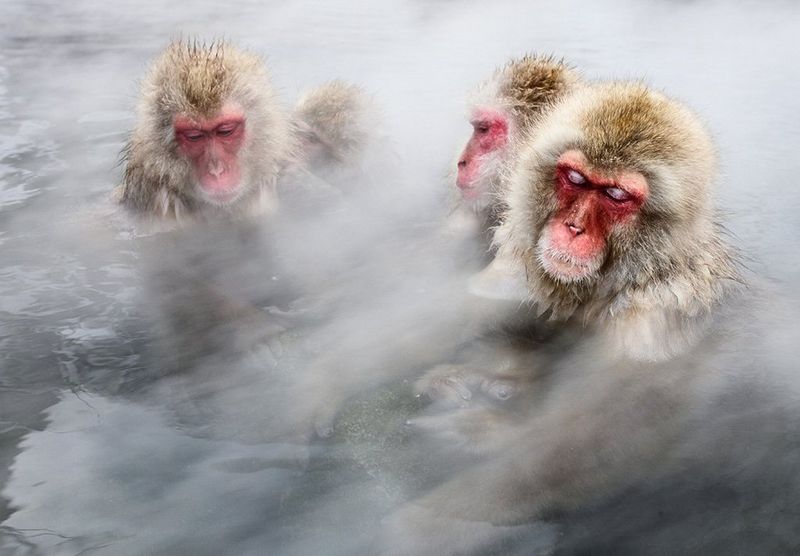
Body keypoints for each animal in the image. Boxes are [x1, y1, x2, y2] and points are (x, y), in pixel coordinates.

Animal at [379, 81, 742, 555]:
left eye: (616, 195)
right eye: (576, 179)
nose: (573, 227)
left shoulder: (653, 318)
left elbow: (595, 444)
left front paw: (422, 526)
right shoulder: (521, 265)